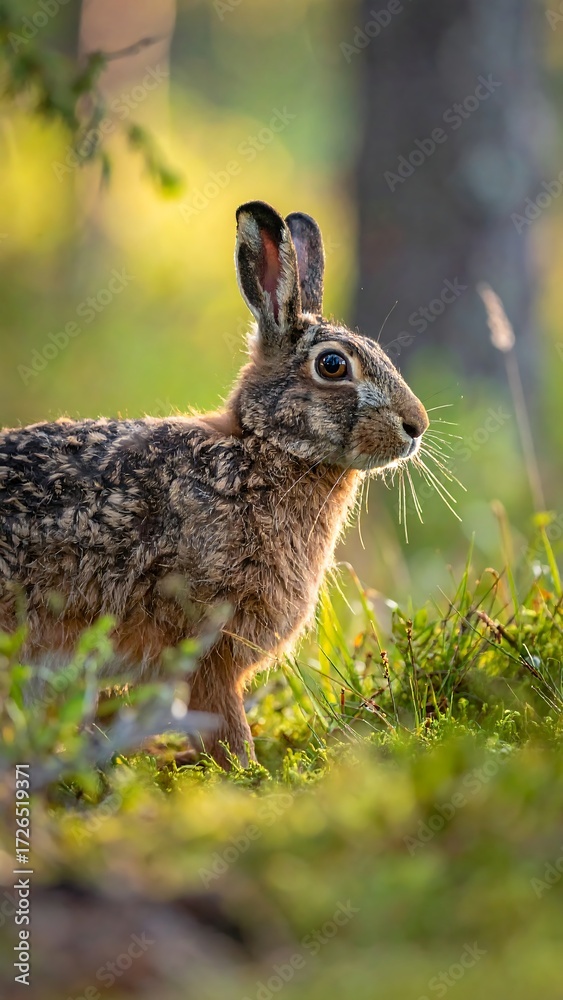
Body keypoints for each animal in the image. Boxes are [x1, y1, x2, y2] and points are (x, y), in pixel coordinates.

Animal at [0, 200, 428, 766]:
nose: (416, 425)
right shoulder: (206, 647)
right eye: (333, 364)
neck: (263, 451)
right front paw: (249, 773)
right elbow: (226, 726)